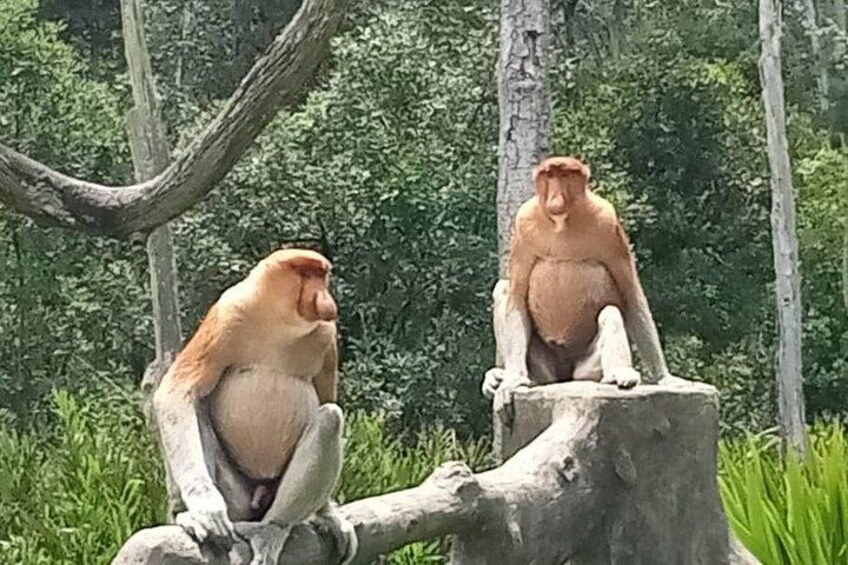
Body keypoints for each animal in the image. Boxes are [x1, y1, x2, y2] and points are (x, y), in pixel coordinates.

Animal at [152, 248, 357, 565]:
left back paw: (271, 529)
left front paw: (329, 514)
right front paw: (205, 508)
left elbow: (326, 400)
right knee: (196, 407)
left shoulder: (326, 336)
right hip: (235, 495)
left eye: (322, 275)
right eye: (306, 273)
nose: (325, 299)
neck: (281, 322)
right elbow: (177, 392)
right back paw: (189, 516)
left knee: (330, 420)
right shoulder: (227, 314)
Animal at [482, 156, 679, 417]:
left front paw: (666, 378)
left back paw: (621, 375)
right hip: (544, 369)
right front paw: (511, 381)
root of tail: (565, 375)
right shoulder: (523, 223)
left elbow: (631, 295)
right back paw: (504, 376)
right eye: (549, 176)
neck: (561, 223)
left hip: (586, 370)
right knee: (503, 290)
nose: (555, 198)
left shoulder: (608, 222)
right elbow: (516, 296)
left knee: (610, 312)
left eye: (565, 175)